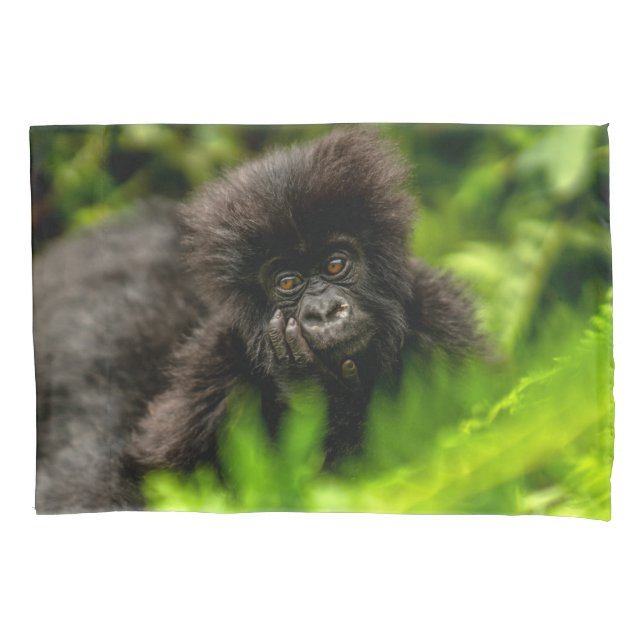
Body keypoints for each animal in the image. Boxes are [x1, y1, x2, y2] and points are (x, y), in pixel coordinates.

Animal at [33, 127, 481, 513]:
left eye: (336, 264)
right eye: (289, 282)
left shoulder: (445, 322)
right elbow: (147, 474)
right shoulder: (213, 367)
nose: (324, 312)